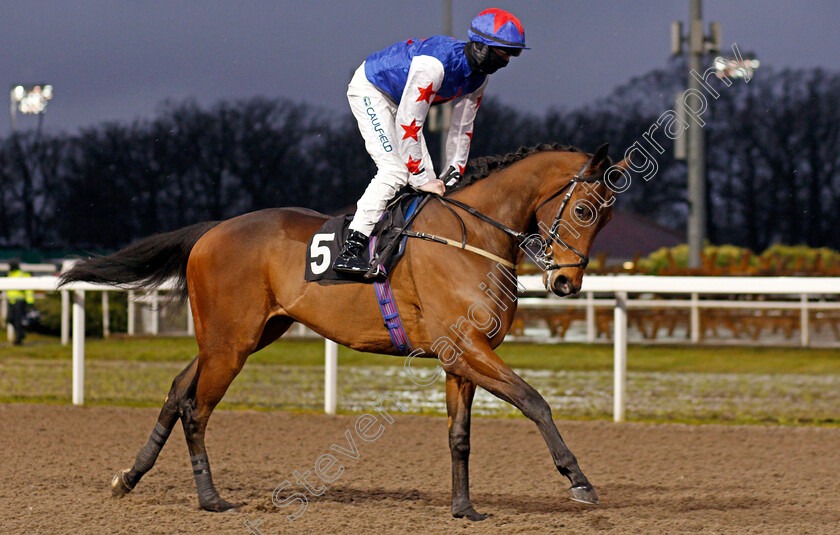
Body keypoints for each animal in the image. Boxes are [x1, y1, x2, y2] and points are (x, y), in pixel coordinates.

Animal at [60, 144, 624, 520]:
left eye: (606, 218)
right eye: (581, 209)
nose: (566, 282)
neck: (472, 237)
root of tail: (210, 231)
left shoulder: (461, 357)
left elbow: (460, 435)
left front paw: (464, 508)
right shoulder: (468, 349)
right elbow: (534, 401)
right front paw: (579, 480)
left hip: (240, 336)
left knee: (178, 390)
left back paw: (129, 476)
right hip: (231, 344)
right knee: (196, 408)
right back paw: (210, 499)